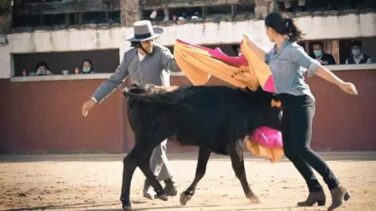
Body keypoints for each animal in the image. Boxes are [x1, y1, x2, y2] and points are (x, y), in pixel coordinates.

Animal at [120, 84, 282, 209]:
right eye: (280, 109)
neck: (245, 104)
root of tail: (139, 90)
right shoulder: (234, 143)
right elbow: (240, 170)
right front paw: (252, 195)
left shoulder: (207, 145)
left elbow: (200, 171)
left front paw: (186, 195)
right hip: (148, 138)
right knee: (131, 161)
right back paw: (126, 202)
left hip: (149, 140)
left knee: (142, 162)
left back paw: (161, 192)